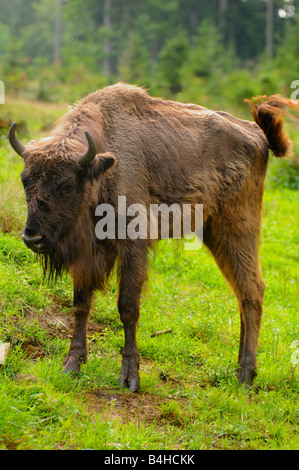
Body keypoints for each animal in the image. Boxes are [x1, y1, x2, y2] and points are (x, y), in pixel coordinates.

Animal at [9, 83, 299, 390]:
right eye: (25, 179)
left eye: (66, 185)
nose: (33, 238)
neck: (104, 165)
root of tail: (258, 136)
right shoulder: (88, 254)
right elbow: (80, 303)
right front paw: (72, 364)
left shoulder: (133, 245)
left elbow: (127, 306)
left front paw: (129, 377)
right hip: (216, 234)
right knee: (243, 293)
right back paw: (241, 372)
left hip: (237, 230)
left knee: (252, 290)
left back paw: (245, 376)